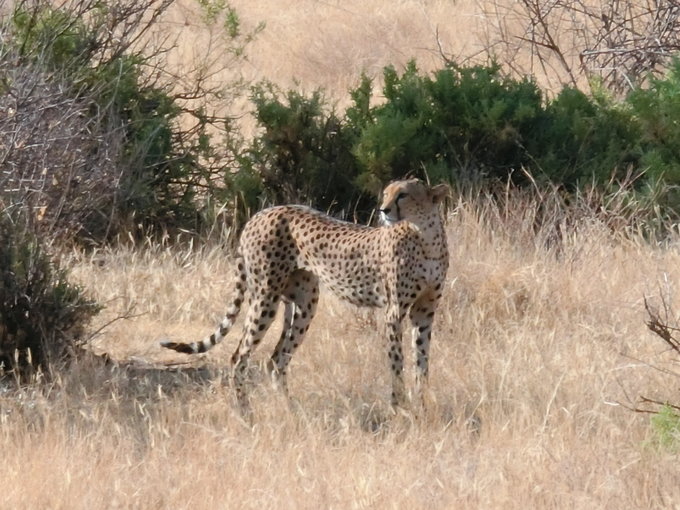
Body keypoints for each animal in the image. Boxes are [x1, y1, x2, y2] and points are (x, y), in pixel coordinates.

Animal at [161, 179, 448, 410]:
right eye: (386, 194)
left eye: (403, 194)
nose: (383, 210)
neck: (426, 237)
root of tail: (261, 213)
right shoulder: (394, 312)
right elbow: (397, 364)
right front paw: (400, 408)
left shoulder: (424, 312)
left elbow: (422, 361)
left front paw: (423, 405)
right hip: (265, 296)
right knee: (239, 357)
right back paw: (245, 414)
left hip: (304, 301)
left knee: (276, 360)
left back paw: (290, 410)